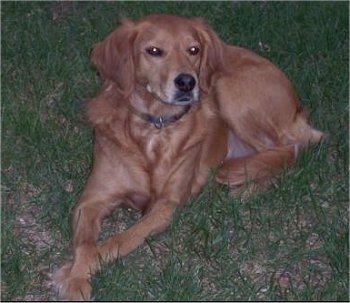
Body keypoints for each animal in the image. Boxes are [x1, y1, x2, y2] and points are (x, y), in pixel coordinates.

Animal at [53, 14, 324, 302]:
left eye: (193, 49)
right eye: (154, 51)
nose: (187, 82)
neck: (156, 125)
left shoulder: (166, 205)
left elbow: (120, 239)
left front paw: (72, 272)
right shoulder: (91, 200)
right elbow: (86, 243)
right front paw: (76, 277)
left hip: (225, 87)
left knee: (293, 147)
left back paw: (240, 178)